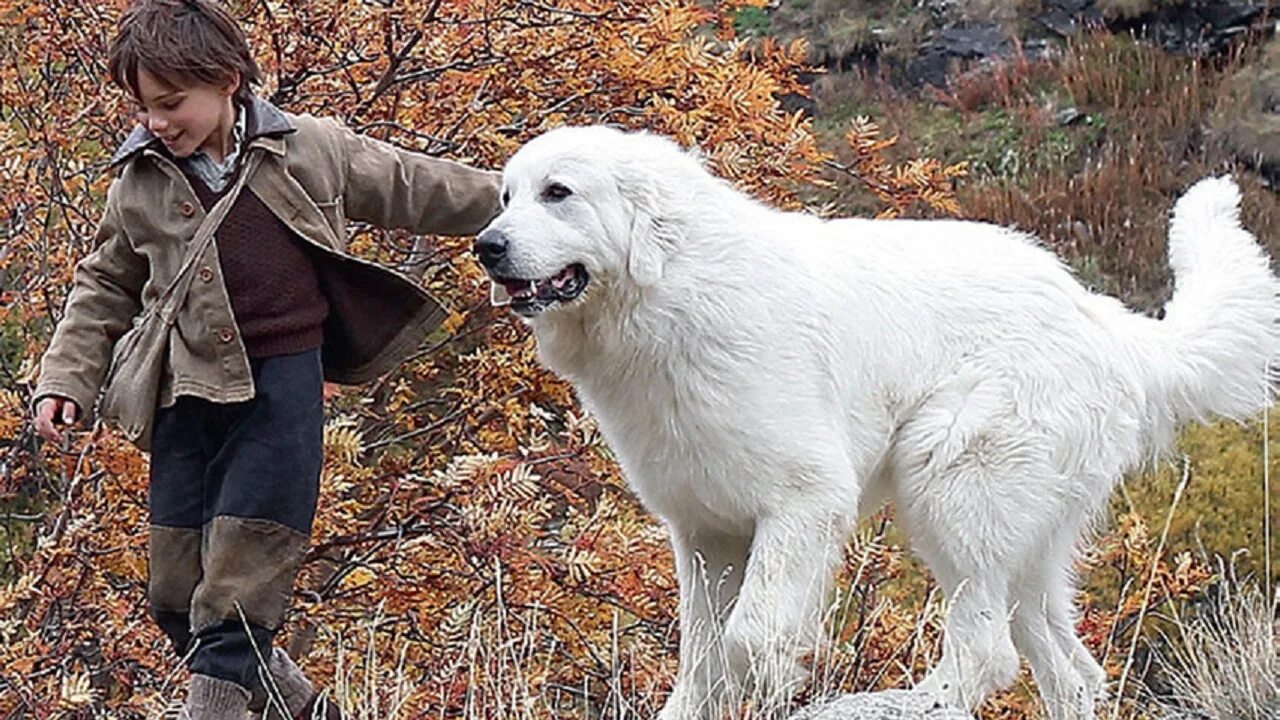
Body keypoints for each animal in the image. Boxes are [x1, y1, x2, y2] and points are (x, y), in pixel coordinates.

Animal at [473, 126, 1280, 712]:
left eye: (558, 192)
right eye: (506, 196)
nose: (486, 245)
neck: (670, 292)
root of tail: (1099, 316)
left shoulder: (803, 501)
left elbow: (749, 638)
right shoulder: (704, 532)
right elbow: (702, 656)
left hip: (954, 483)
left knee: (987, 651)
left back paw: (909, 703)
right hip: (1027, 541)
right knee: (1068, 669)